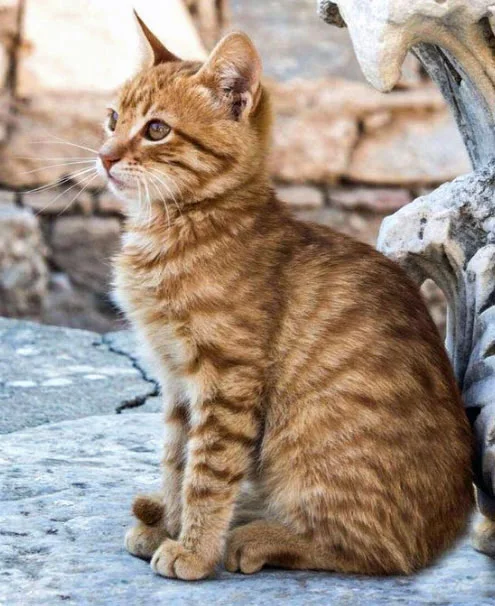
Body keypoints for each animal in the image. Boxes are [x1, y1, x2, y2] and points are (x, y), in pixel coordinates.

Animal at [101, 15, 476, 584]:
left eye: (157, 129)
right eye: (112, 119)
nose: (105, 158)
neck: (178, 228)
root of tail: (450, 527)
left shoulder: (227, 379)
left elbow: (206, 471)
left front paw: (194, 549)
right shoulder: (176, 383)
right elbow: (175, 459)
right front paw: (169, 524)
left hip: (310, 451)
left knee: (382, 552)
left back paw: (257, 537)